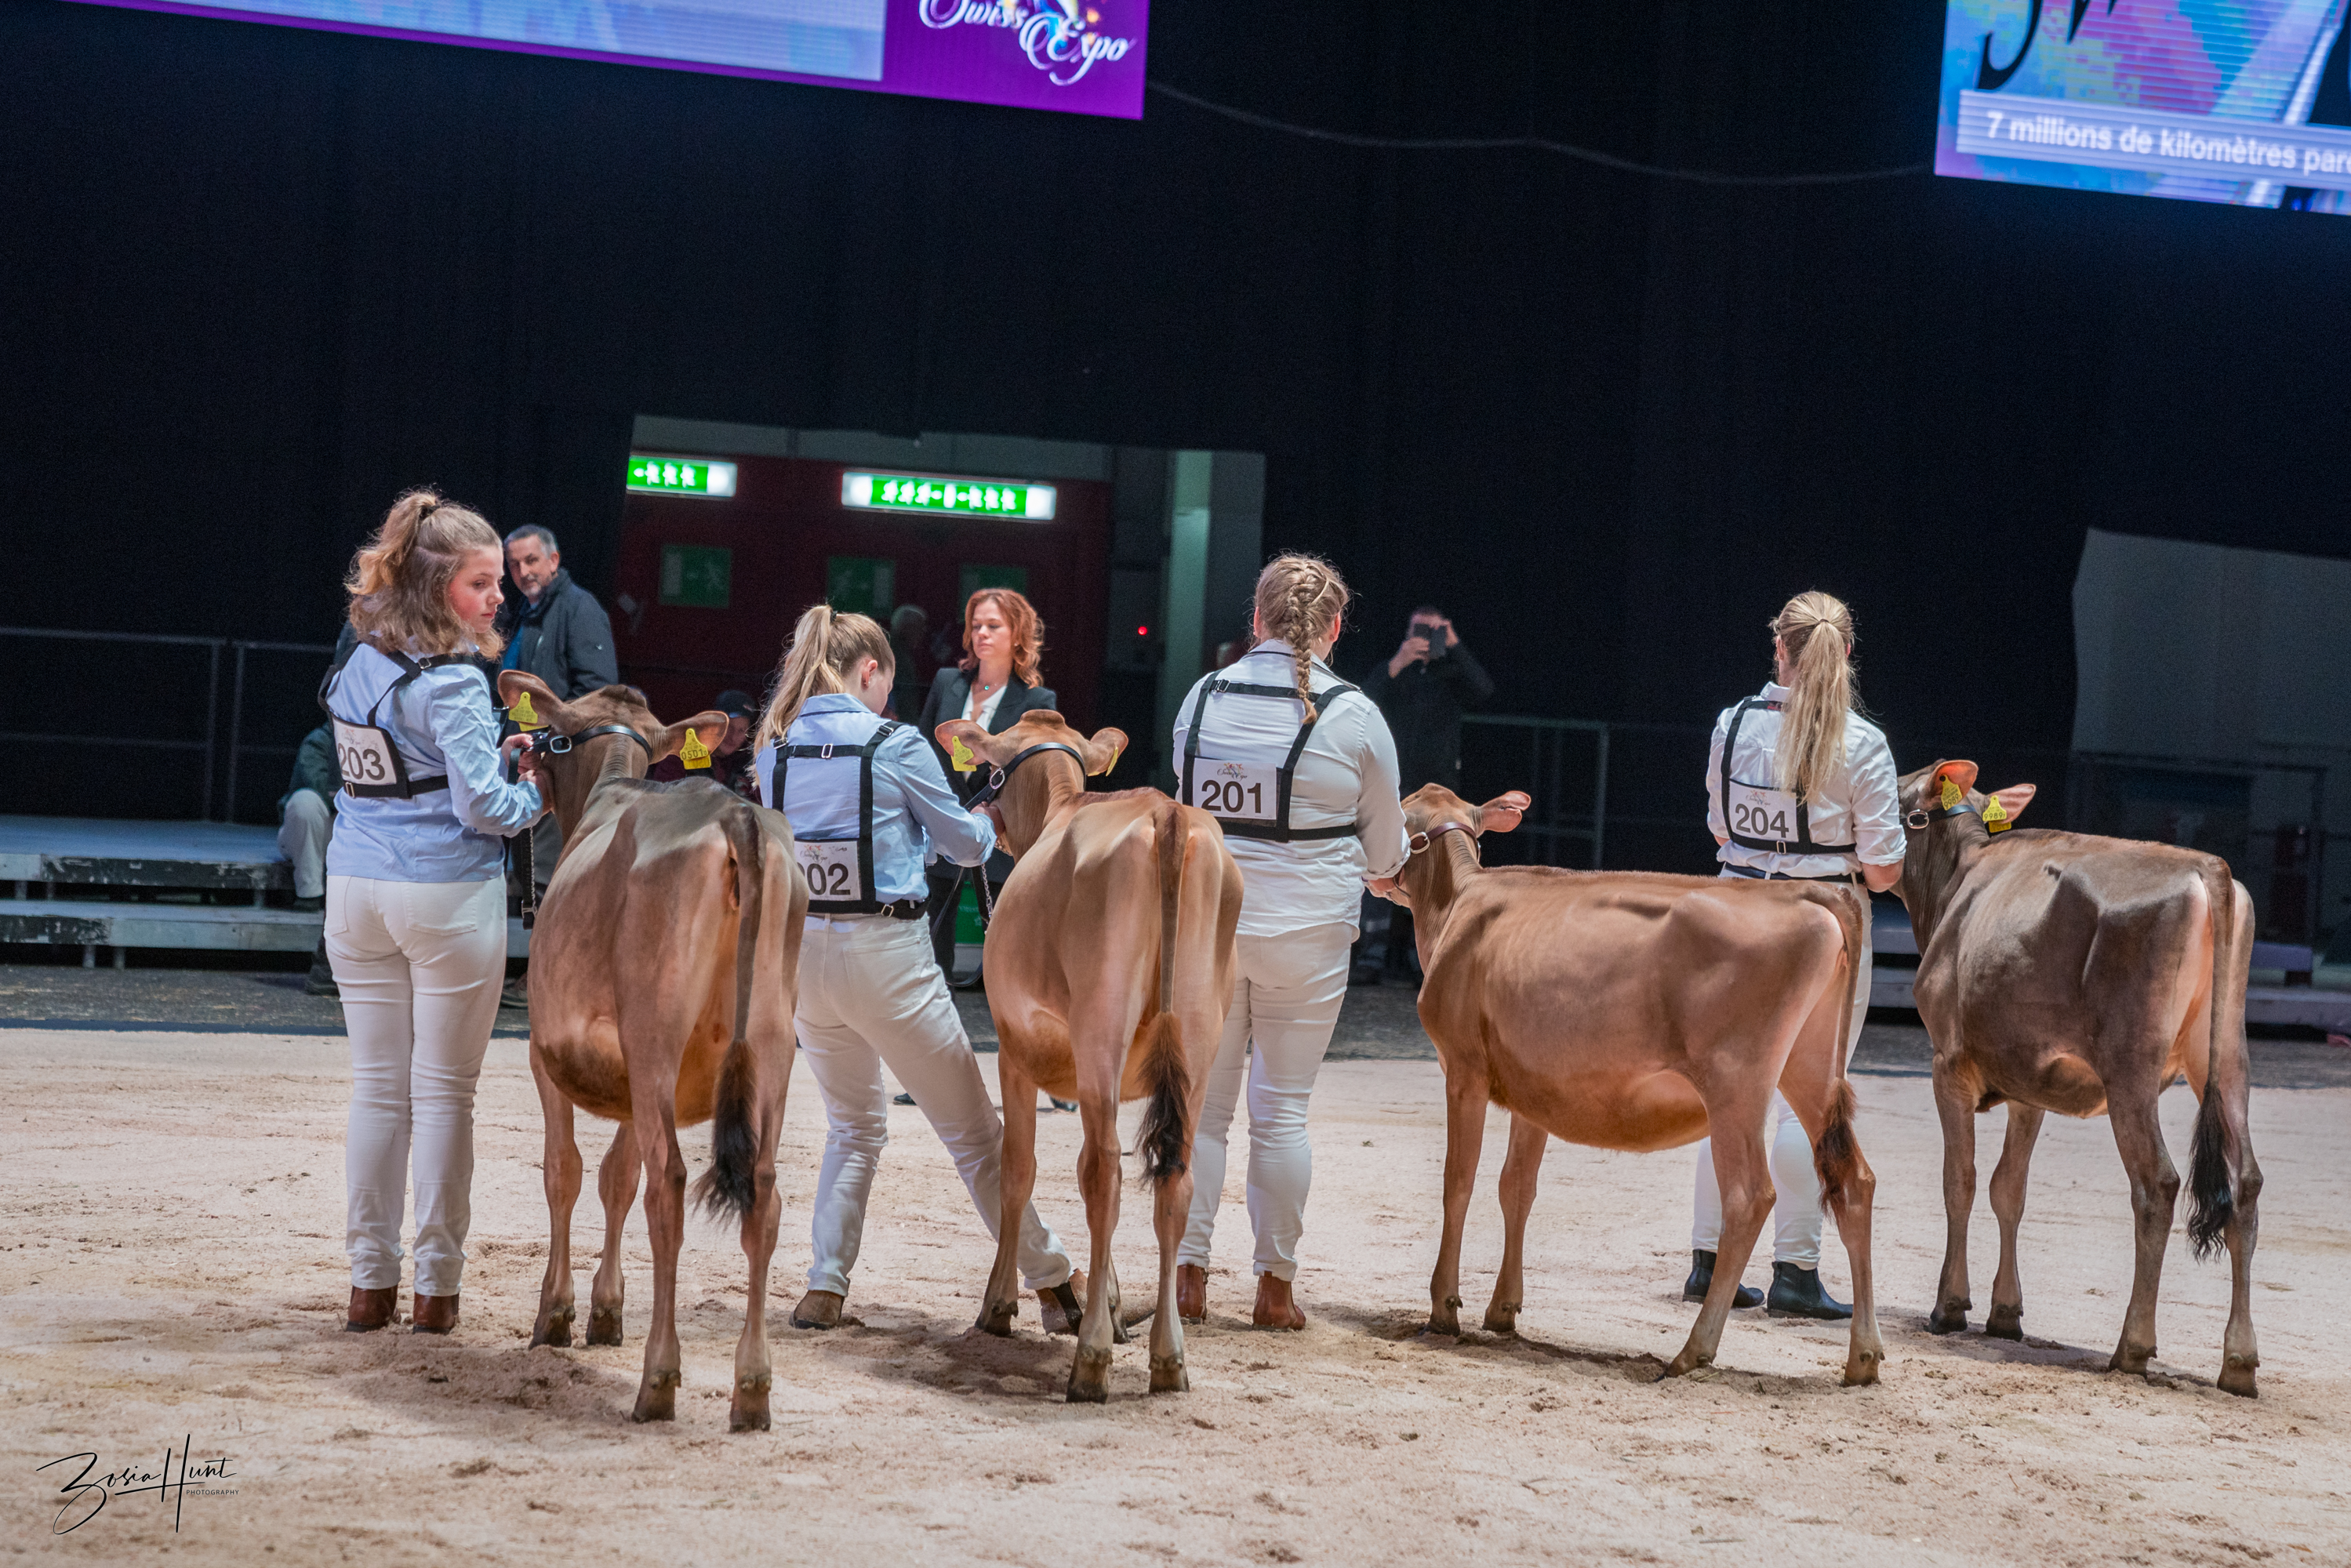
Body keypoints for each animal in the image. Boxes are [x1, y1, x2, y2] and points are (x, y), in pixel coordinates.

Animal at [497, 672, 806, 1430]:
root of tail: (738, 816)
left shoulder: (548, 1056)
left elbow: (567, 1171)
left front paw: (556, 1313)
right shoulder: (633, 1081)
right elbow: (618, 1175)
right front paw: (606, 1310)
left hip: (656, 1031)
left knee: (668, 1187)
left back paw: (658, 1379)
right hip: (771, 1046)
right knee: (762, 1193)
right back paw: (752, 1387)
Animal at [931, 710, 1243, 1403]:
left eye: (990, 768)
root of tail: (1166, 815)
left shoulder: (1014, 1052)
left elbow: (1017, 1169)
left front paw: (999, 1305)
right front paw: (1115, 1304)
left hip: (1102, 1024)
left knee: (1105, 1172)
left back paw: (1092, 1359)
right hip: (1200, 1038)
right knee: (1173, 1178)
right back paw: (1167, 1357)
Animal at [1393, 784, 1885, 1386]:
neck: (1457, 904)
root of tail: (1809, 894)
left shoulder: (1462, 1068)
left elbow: (1457, 1182)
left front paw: (1444, 1308)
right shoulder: (1533, 1089)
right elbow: (1517, 1189)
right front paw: (1503, 1309)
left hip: (1736, 1082)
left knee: (1750, 1196)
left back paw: (1695, 1349)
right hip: (1809, 1068)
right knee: (1854, 1183)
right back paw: (1863, 1356)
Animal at [1894, 759, 2261, 1396]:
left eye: (1894, 798)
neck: (1958, 879)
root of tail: (2207, 867)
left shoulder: (1948, 1064)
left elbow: (1959, 1181)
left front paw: (1949, 1306)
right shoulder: (2029, 1084)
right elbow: (2008, 1189)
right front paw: (2006, 1313)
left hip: (2131, 1067)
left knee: (2157, 1184)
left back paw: (2132, 1346)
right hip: (2224, 1057)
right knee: (2246, 1184)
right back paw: (2238, 1361)